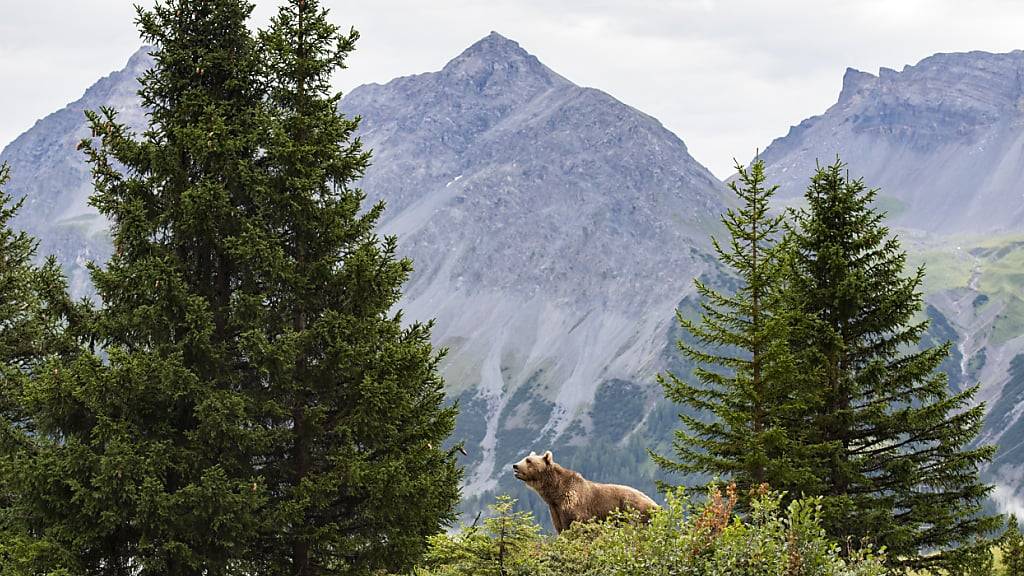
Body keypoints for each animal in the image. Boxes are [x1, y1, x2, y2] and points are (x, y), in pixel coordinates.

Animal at [509, 446, 655, 532]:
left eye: (529, 460)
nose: (515, 465)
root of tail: (654, 504)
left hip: (633, 511)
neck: (555, 494)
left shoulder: (574, 505)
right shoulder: (555, 510)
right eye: (525, 458)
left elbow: (576, 526)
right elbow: (561, 529)